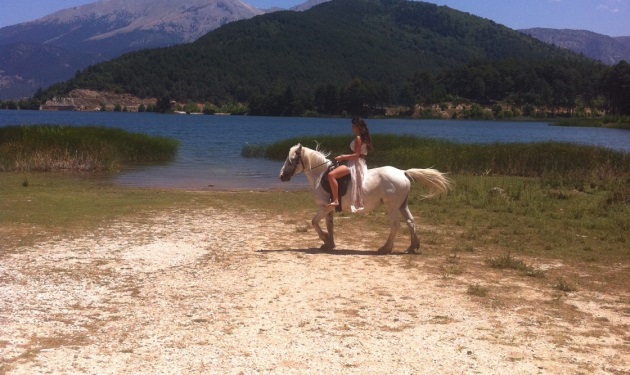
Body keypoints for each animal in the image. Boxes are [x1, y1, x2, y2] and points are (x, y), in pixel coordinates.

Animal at [278, 144, 452, 256]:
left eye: (291, 160)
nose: (282, 176)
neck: (321, 175)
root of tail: (402, 172)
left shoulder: (326, 206)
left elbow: (314, 222)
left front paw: (325, 239)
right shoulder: (329, 208)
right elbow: (329, 225)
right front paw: (329, 243)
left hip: (392, 207)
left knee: (395, 225)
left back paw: (385, 248)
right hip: (402, 205)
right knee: (411, 222)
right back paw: (412, 247)